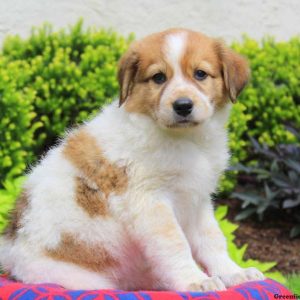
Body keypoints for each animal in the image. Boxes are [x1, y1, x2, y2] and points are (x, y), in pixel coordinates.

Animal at [0, 28, 262, 290]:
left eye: (200, 74)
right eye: (158, 77)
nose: (183, 106)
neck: (186, 140)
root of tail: (11, 255)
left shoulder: (196, 200)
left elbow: (212, 239)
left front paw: (234, 272)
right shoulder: (149, 201)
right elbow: (175, 243)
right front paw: (195, 281)